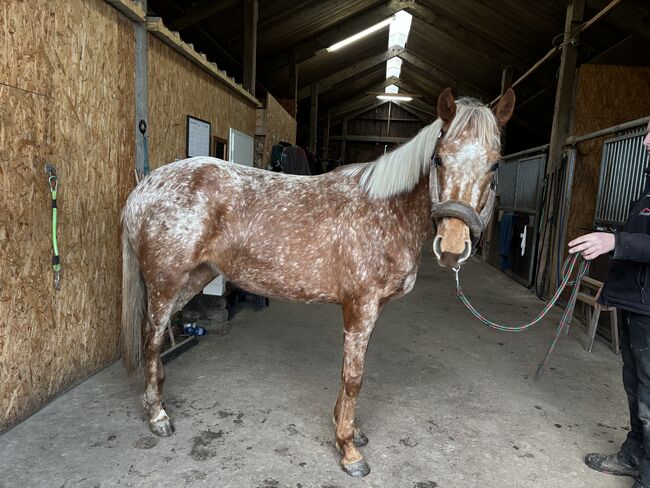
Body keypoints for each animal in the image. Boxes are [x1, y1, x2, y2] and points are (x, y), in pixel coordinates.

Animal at [121, 86, 512, 476]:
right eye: (439, 159)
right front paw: (349, 451)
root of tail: (145, 187)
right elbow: (354, 378)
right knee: (151, 336)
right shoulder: (360, 306)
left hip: (194, 277)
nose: (452, 247)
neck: (385, 212)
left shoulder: (371, 309)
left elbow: (347, 372)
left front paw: (348, 429)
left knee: (156, 335)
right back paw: (157, 415)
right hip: (165, 281)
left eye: (495, 165)